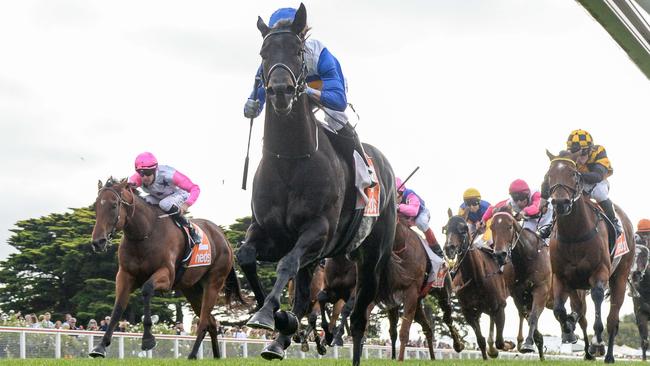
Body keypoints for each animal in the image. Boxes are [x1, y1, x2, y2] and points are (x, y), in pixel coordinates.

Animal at [88, 179, 243, 358]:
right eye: (96, 206)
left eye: (114, 205)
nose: (98, 242)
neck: (145, 233)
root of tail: (224, 238)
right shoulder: (125, 275)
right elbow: (118, 308)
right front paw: (100, 346)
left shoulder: (167, 275)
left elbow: (147, 289)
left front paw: (148, 339)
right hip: (191, 289)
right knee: (211, 322)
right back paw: (216, 357)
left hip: (213, 283)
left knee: (204, 321)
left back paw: (192, 355)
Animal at [235, 4, 398, 364]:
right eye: (264, 53)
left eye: (298, 52)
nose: (280, 91)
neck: (290, 161)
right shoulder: (269, 232)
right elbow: (248, 257)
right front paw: (278, 317)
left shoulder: (318, 231)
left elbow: (287, 264)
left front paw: (269, 314)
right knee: (305, 290)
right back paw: (280, 339)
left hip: (371, 259)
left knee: (358, 318)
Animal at [442, 213, 508, 358]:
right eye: (445, 229)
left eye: (463, 229)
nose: (449, 248)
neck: (476, 277)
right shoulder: (469, 312)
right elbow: (481, 340)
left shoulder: (499, 306)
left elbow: (500, 342)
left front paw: (506, 345)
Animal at [540, 152, 632, 364]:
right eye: (549, 175)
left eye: (573, 174)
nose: (560, 203)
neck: (574, 233)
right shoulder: (561, 277)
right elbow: (560, 310)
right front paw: (569, 330)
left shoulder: (600, 272)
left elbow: (597, 299)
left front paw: (598, 343)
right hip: (577, 285)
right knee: (581, 313)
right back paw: (587, 352)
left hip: (620, 276)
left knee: (612, 318)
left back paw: (608, 355)